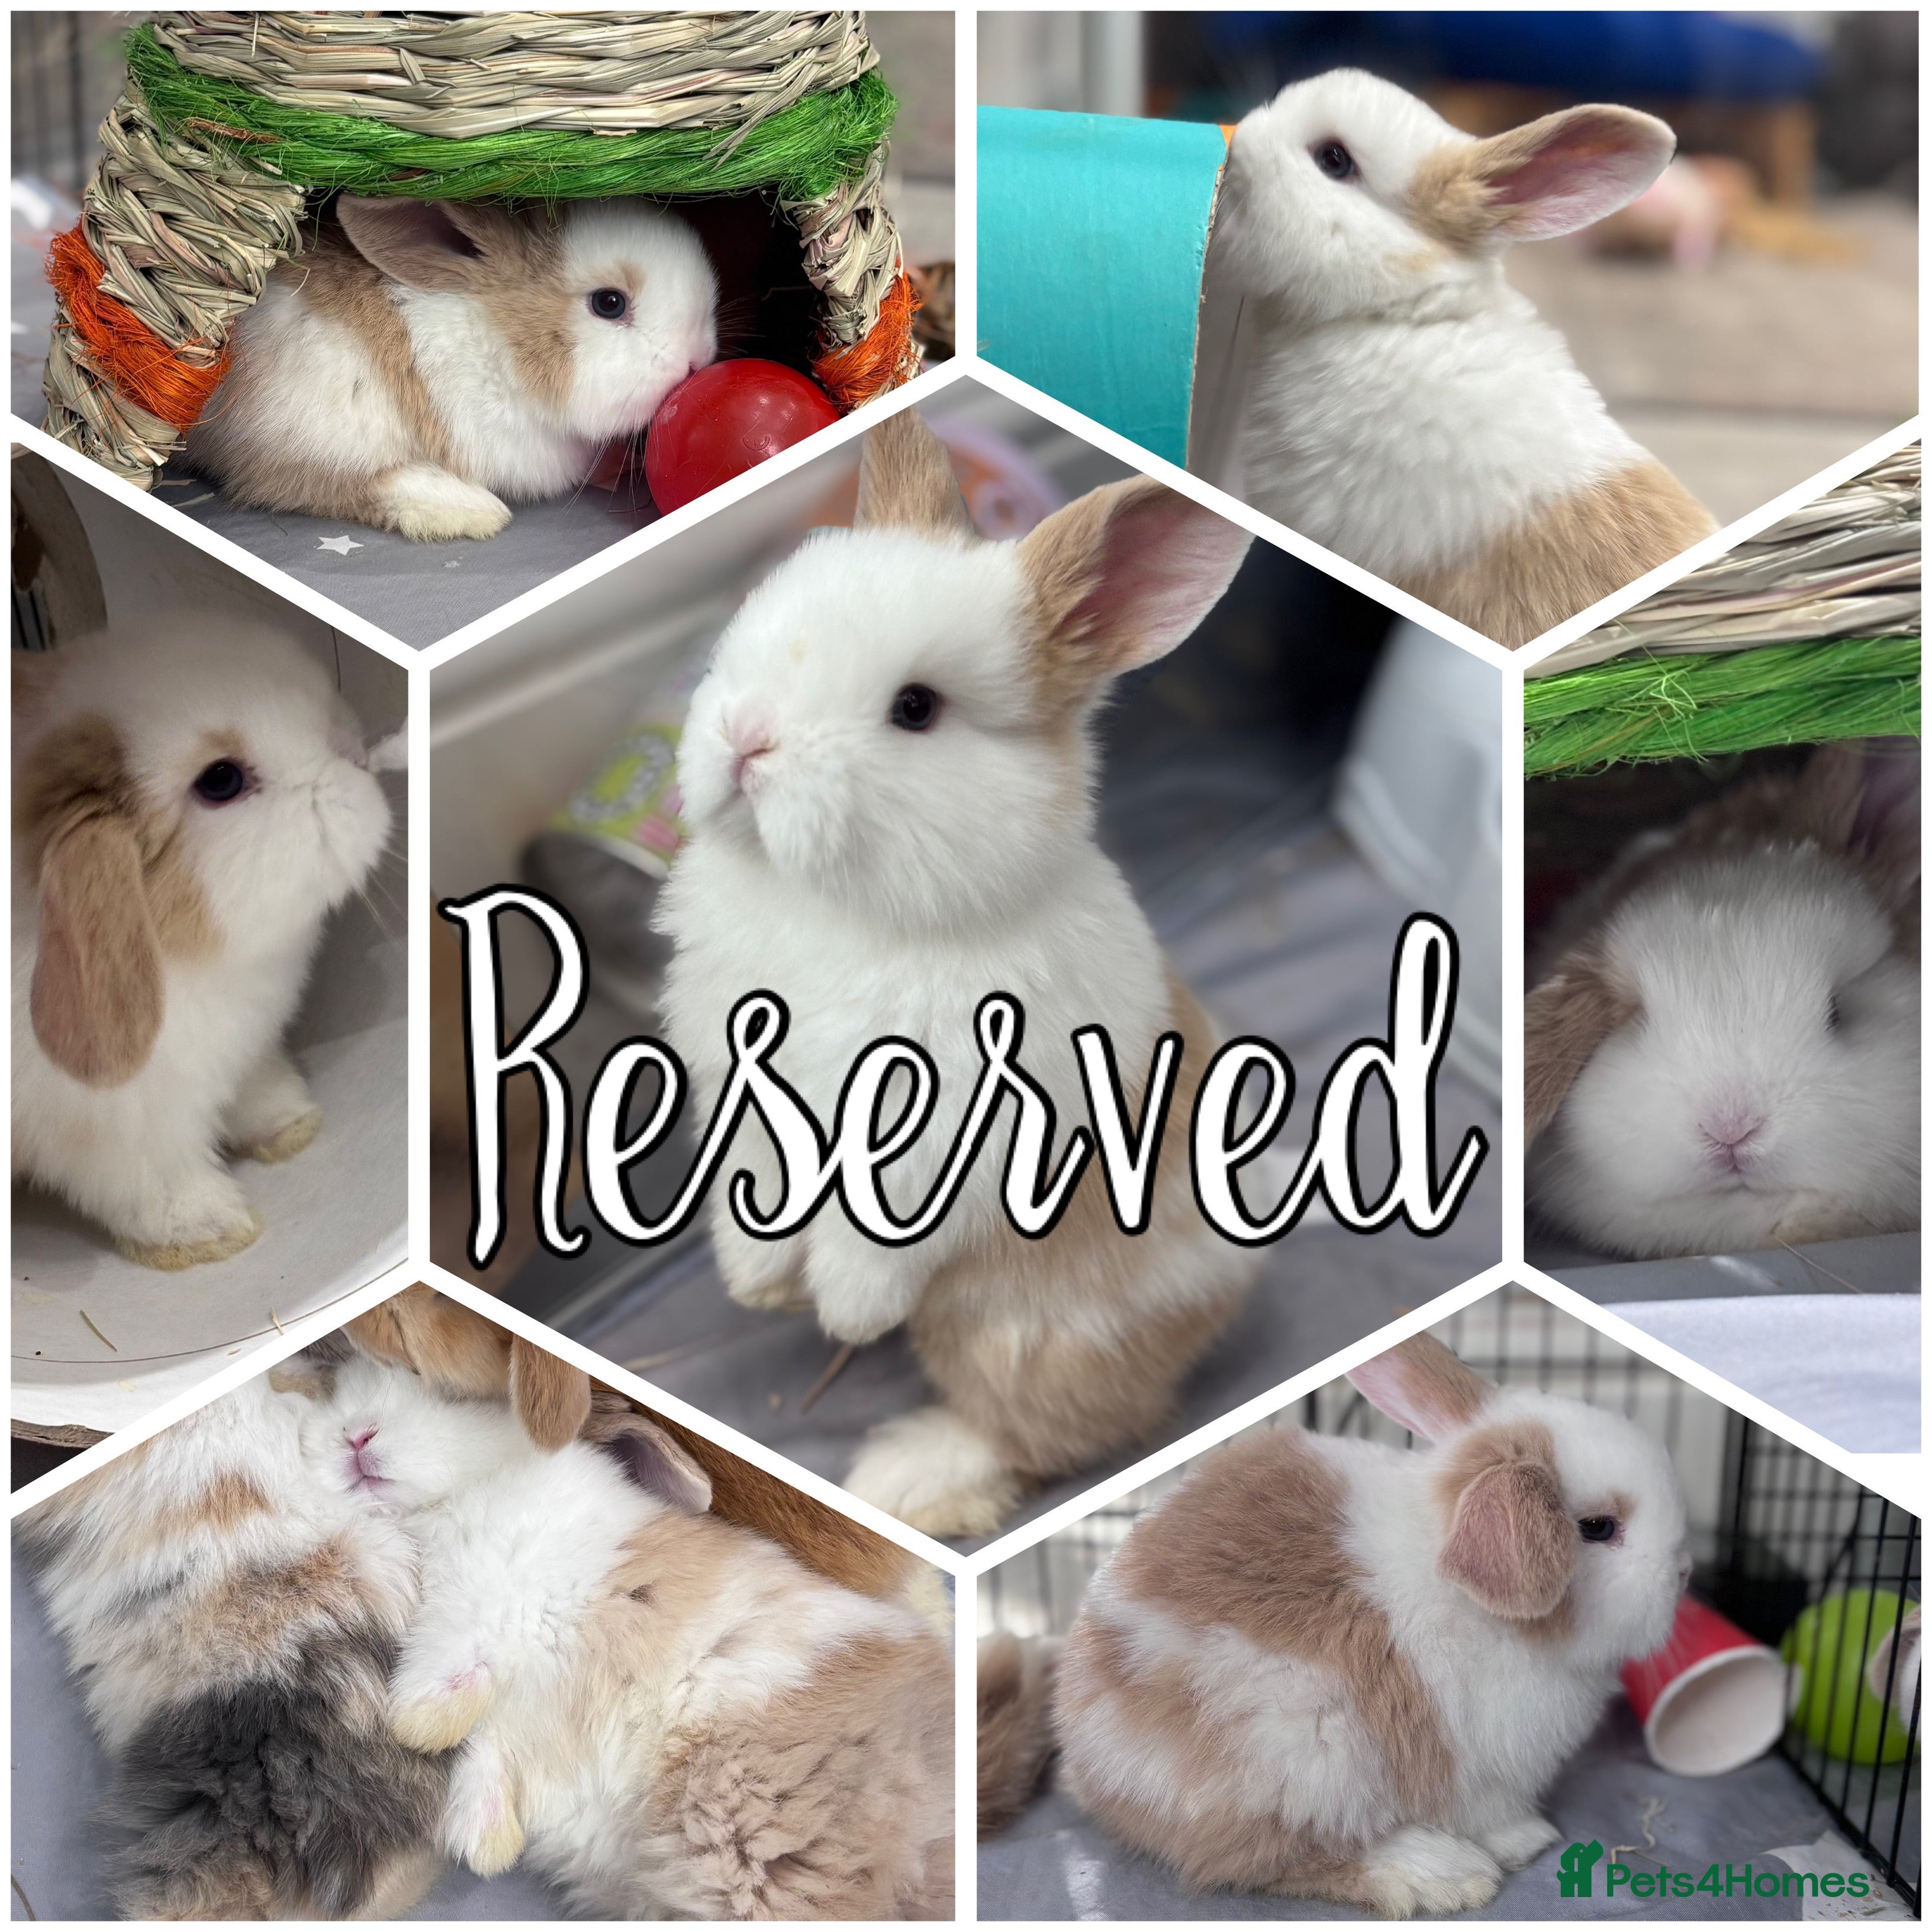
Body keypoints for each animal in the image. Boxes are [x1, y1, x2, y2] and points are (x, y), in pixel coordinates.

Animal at [12, 619, 392, 1268]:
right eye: (221, 781)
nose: (355, 750)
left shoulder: (241, 1051)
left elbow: (255, 1089)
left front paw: (292, 1123)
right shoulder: (116, 1131)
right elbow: (153, 1184)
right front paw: (214, 1231)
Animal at [186, 195, 718, 542]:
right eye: (609, 304)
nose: (696, 359)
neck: (495, 342)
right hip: (315, 423)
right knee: (309, 484)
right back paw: (471, 511)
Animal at [306, 1354, 955, 1919]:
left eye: (448, 1393)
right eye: (340, 1394)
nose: (355, 1436)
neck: (462, 1496)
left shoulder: (482, 1600)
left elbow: (454, 1672)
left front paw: (416, 1727)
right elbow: (485, 1747)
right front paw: (490, 1844)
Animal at [655, 405, 1263, 1539]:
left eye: (915, 709)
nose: (746, 741)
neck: (849, 911)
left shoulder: (939, 1142)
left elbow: (874, 1237)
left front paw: (845, 1307)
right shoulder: (747, 1094)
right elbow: (759, 1187)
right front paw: (756, 1285)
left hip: (1023, 1337)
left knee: (1049, 1432)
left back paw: (909, 1477)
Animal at [1046, 1331, 1689, 1916]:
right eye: (1599, 1528)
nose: (1684, 1572)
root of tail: (1088, 1764)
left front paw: (1523, 1839)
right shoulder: (1472, 1765)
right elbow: (1484, 1809)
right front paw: (1527, 1839)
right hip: (1296, 1754)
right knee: (1258, 1857)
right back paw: (1440, 1874)